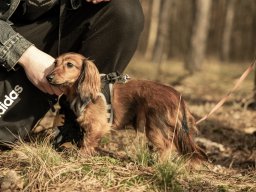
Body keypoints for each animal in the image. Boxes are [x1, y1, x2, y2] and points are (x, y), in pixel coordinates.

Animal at [46, 52, 207, 162]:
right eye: (55, 63)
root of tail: (177, 95)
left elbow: (87, 141)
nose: (48, 77)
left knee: (168, 146)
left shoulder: (98, 125)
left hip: (154, 127)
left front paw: (81, 156)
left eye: (70, 65)